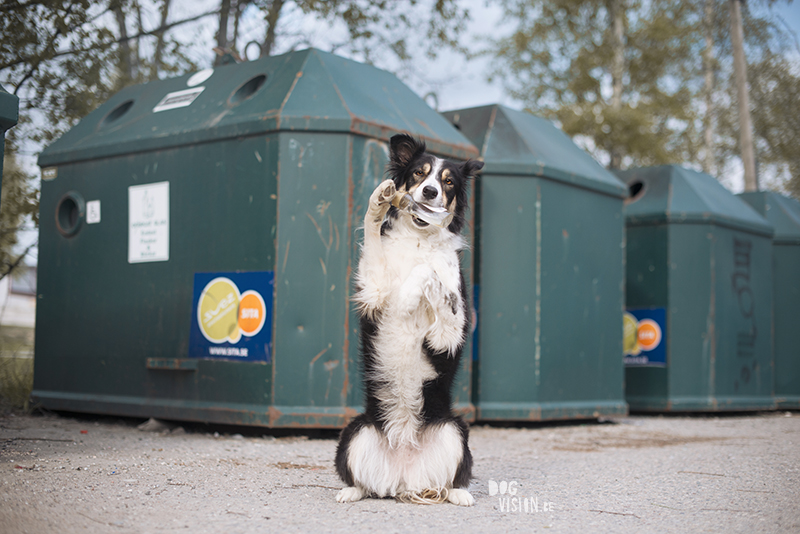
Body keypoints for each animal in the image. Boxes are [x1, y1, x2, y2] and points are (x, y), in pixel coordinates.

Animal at [336, 134, 484, 506]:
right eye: (419, 173)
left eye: (448, 182)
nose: (430, 192)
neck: (419, 240)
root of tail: (404, 473)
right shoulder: (373, 289)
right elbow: (375, 238)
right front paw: (378, 204)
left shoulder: (448, 338)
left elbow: (435, 278)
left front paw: (417, 294)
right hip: (356, 430)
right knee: (361, 482)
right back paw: (349, 491)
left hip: (454, 429)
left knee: (454, 479)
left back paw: (460, 495)